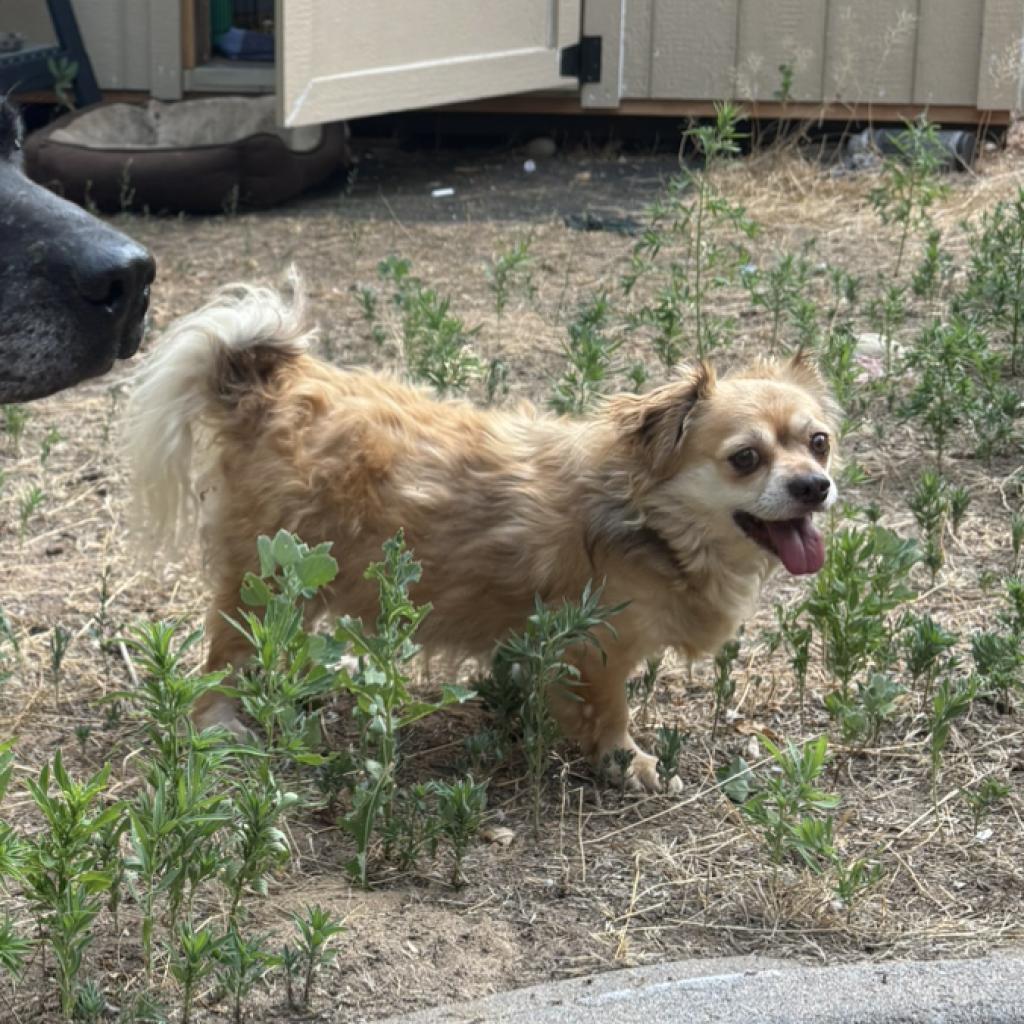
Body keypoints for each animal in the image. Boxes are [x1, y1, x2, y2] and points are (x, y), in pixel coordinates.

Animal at [125, 280, 839, 790]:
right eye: (745, 458)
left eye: (819, 444)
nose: (815, 486)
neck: (650, 518)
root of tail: (268, 385)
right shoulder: (600, 649)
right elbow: (610, 714)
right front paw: (625, 762)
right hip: (264, 575)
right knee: (221, 661)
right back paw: (222, 725)